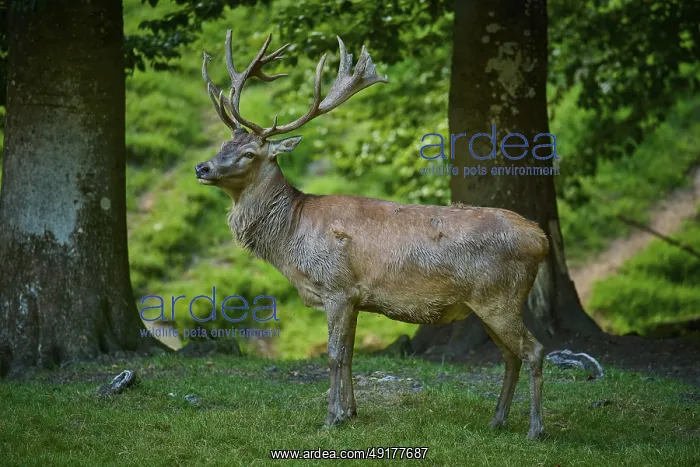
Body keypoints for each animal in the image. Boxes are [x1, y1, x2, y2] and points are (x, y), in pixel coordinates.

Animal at [195, 30, 549, 440]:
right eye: (224, 145)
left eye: (250, 152)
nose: (202, 167)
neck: (292, 237)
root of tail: (541, 239)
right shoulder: (355, 297)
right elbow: (349, 354)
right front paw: (351, 412)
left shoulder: (336, 286)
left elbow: (334, 355)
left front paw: (330, 418)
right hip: (488, 302)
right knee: (510, 355)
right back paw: (497, 420)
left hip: (501, 295)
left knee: (534, 350)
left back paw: (535, 429)